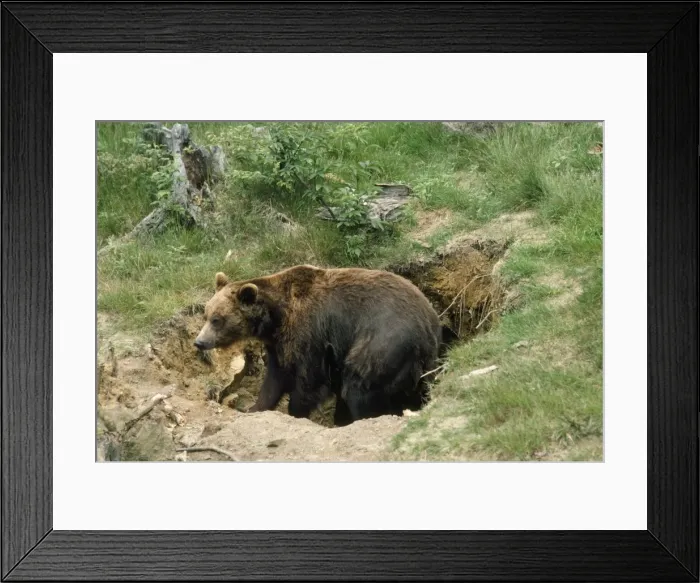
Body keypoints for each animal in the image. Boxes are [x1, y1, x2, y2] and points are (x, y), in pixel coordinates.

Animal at [194, 264, 443, 426]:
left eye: (217, 319)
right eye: (206, 314)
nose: (200, 342)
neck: (275, 318)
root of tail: (430, 323)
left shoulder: (311, 333)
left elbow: (310, 380)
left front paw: (295, 411)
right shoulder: (279, 345)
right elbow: (275, 379)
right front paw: (255, 407)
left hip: (384, 342)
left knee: (359, 382)